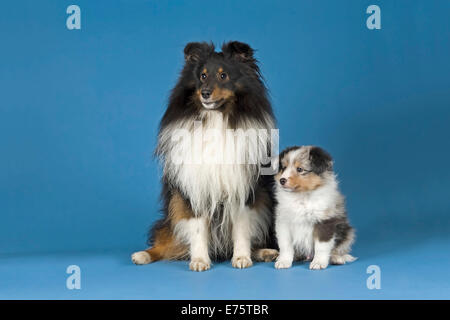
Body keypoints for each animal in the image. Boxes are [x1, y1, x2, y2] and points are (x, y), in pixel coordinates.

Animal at [131, 41, 278, 272]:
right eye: (202, 76)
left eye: (223, 75)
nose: (205, 93)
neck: (216, 118)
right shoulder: (195, 187)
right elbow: (198, 229)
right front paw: (200, 261)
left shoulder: (243, 188)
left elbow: (242, 228)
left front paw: (241, 258)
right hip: (174, 210)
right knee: (166, 241)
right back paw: (143, 255)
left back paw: (265, 252)